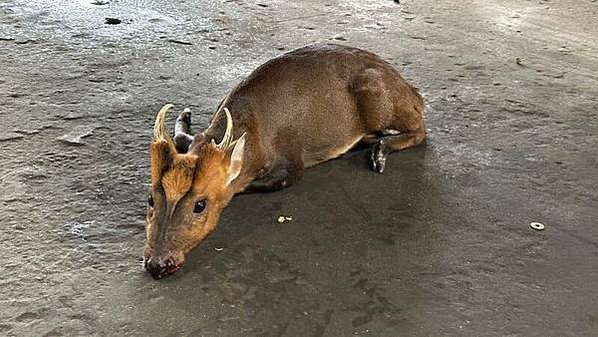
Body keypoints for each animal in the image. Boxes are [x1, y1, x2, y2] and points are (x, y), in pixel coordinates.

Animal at [145, 43, 426, 276]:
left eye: (200, 205)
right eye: (150, 199)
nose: (157, 265)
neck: (253, 132)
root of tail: (412, 91)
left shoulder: (291, 161)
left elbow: (269, 183)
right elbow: (183, 137)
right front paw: (185, 115)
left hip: (381, 103)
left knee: (420, 130)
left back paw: (379, 153)